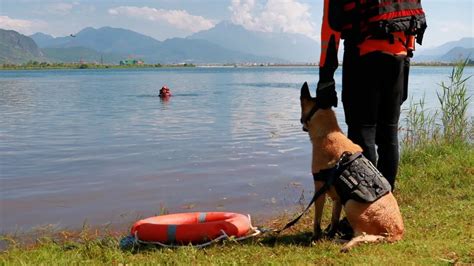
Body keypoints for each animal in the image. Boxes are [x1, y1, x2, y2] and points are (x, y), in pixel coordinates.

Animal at [300, 82, 404, 252]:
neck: (328, 133)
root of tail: (397, 233)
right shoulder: (337, 198)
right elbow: (334, 219)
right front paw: (330, 233)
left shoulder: (319, 190)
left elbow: (317, 219)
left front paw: (316, 237)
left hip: (350, 205)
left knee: (361, 235)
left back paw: (342, 241)